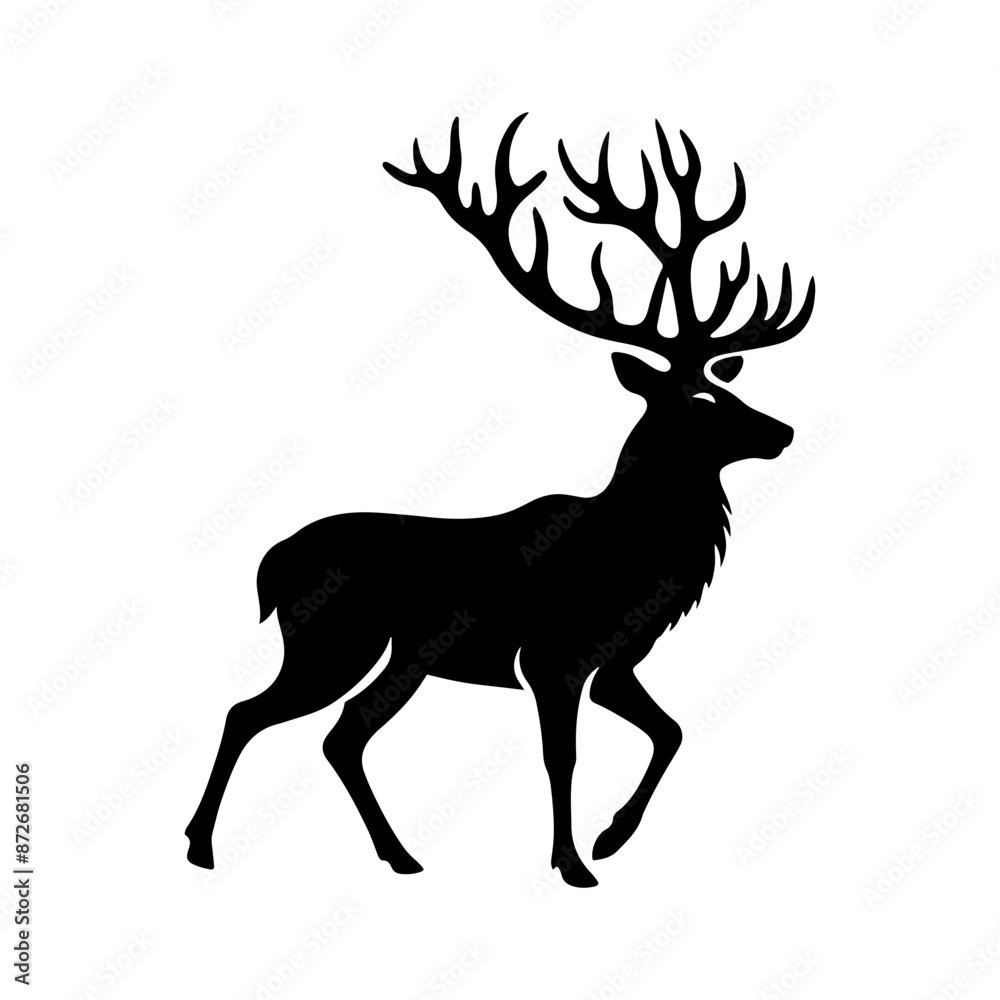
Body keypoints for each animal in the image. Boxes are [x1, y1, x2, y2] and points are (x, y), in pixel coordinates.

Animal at [185, 114, 815, 888]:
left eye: (726, 386)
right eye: (699, 402)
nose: (782, 431)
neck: (643, 558)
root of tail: (271, 564)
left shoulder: (617, 661)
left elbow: (670, 731)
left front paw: (612, 837)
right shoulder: (552, 656)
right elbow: (561, 755)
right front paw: (572, 862)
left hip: (397, 655)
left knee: (340, 734)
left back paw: (399, 855)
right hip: (334, 640)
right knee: (252, 713)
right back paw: (204, 846)